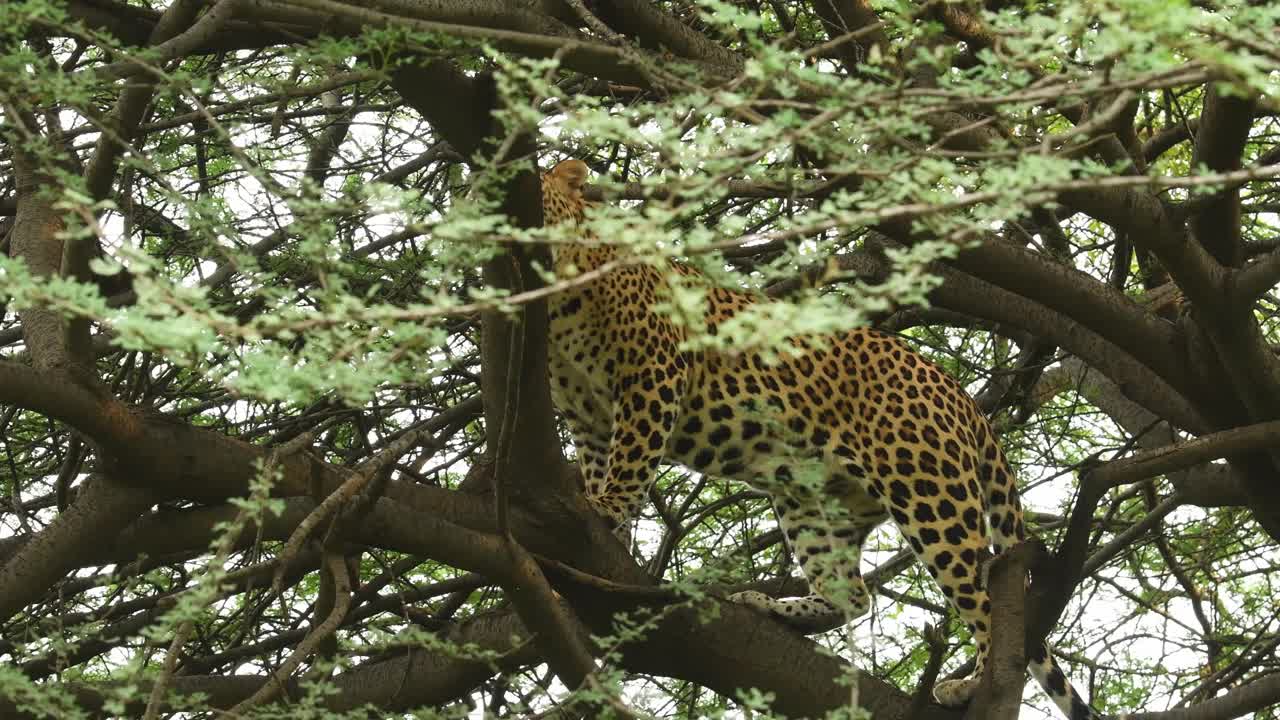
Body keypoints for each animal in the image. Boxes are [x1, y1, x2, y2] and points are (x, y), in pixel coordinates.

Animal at [540, 158, 1100, 717]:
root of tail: (960, 394)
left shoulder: (652, 374)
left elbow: (631, 459)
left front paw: (609, 507)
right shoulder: (587, 420)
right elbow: (599, 466)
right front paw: (602, 526)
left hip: (930, 493)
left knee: (986, 604)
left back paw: (974, 685)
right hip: (811, 502)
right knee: (853, 596)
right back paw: (771, 605)